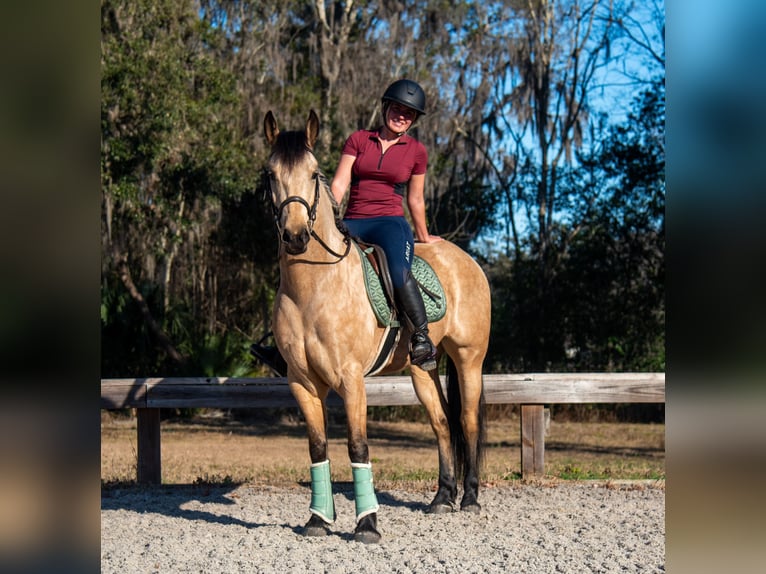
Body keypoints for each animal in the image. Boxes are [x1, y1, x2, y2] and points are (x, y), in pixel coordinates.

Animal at [262, 110, 491, 543]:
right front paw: (318, 520)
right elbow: (318, 448)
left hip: (469, 359)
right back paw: (442, 498)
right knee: (441, 422)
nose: (296, 236)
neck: (312, 288)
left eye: (314, 173)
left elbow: (358, 447)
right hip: (421, 368)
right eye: (270, 173)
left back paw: (470, 498)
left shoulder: (351, 380)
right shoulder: (302, 382)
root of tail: (465, 258)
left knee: (467, 421)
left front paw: (367, 524)